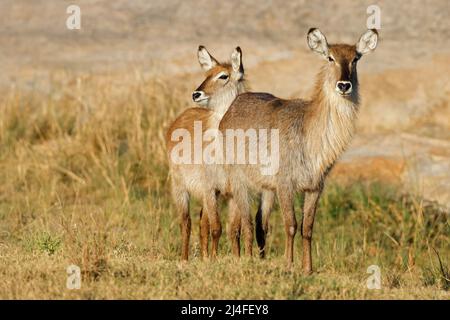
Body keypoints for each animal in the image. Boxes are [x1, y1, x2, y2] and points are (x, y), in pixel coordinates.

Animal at [167, 45, 276, 260]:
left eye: (223, 76)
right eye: (207, 74)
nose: (196, 94)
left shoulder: (232, 191)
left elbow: (233, 229)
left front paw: (235, 258)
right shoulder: (210, 188)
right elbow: (216, 228)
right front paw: (214, 259)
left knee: (202, 223)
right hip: (180, 187)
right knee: (186, 223)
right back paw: (184, 259)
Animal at [220, 28, 378, 272]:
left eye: (355, 59)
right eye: (330, 57)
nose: (344, 85)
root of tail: (233, 105)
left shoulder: (315, 187)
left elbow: (307, 228)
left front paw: (308, 268)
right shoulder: (285, 184)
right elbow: (291, 225)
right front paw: (288, 264)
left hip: (266, 188)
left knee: (259, 223)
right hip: (239, 180)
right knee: (245, 221)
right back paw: (246, 259)